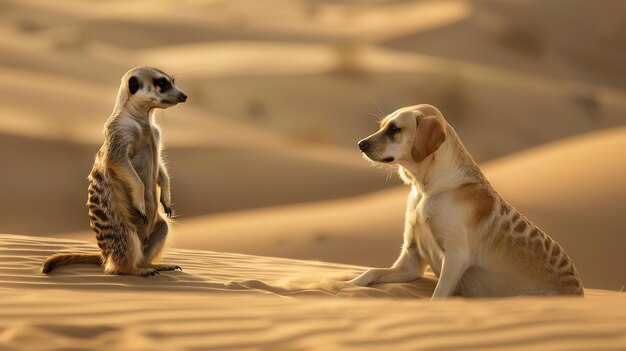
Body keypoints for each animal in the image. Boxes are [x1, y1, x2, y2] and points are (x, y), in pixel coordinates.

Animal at [348, 104, 584, 300]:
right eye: (382, 126)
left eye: (394, 129)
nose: (360, 144)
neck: (426, 189)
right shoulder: (411, 260)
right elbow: (371, 271)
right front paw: (348, 285)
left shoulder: (455, 257)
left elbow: (437, 296)